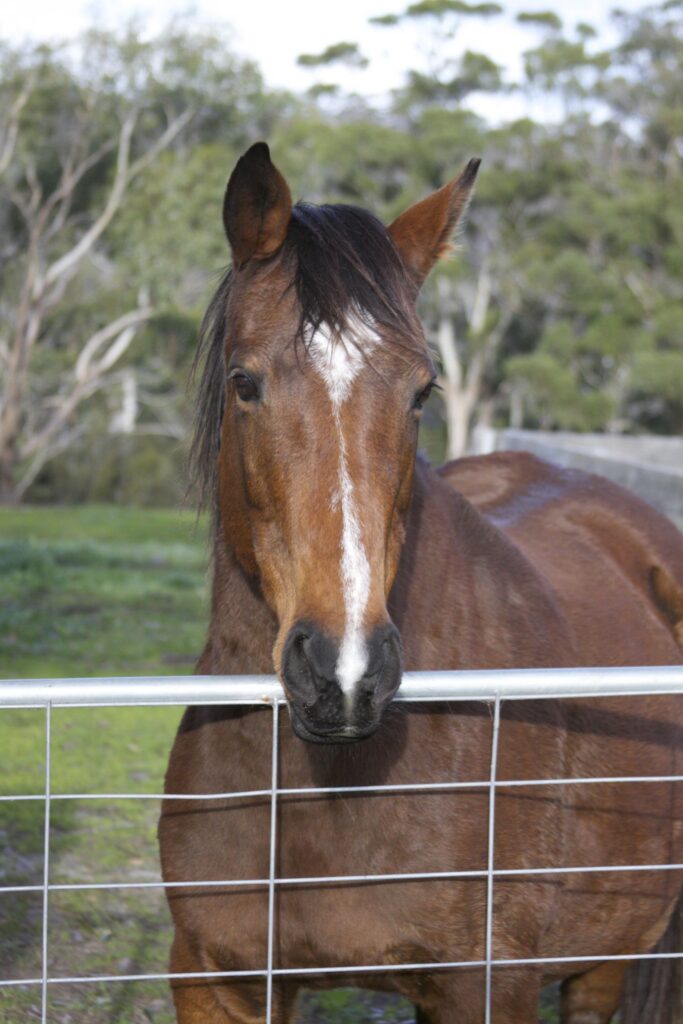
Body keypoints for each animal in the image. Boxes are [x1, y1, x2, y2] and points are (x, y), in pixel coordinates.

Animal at [158, 142, 683, 1023]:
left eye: (421, 391)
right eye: (244, 381)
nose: (343, 676)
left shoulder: (485, 984)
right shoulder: (214, 979)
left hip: (606, 958)